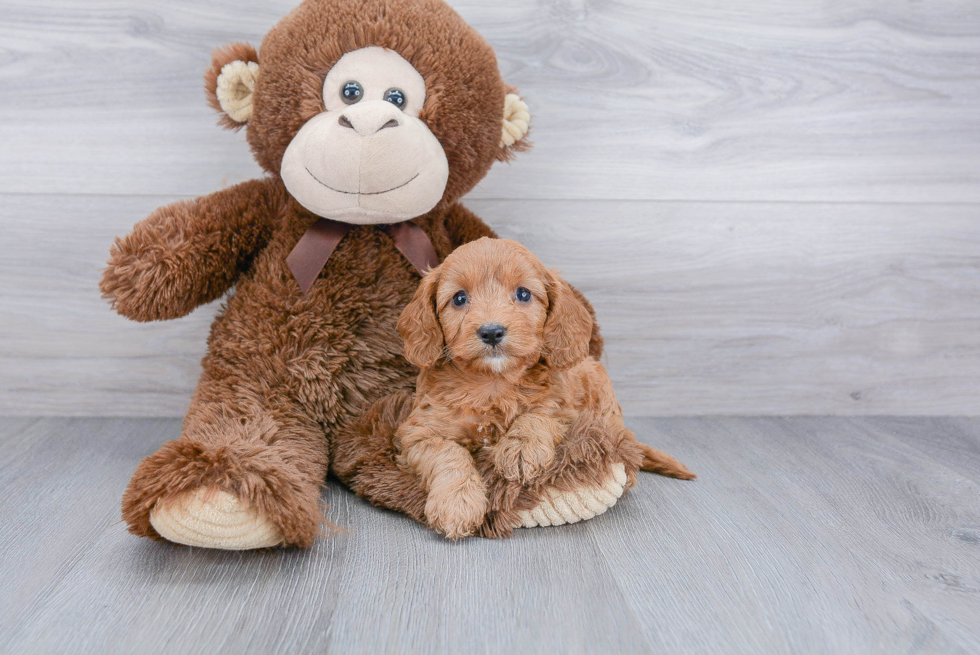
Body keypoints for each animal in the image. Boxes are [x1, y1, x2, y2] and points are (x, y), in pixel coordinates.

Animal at [394, 237, 692, 540]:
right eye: (459, 298)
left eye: (523, 294)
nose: (491, 332)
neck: (493, 383)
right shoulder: (419, 431)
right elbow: (447, 455)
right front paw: (457, 503)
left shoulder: (566, 411)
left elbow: (540, 415)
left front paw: (521, 448)